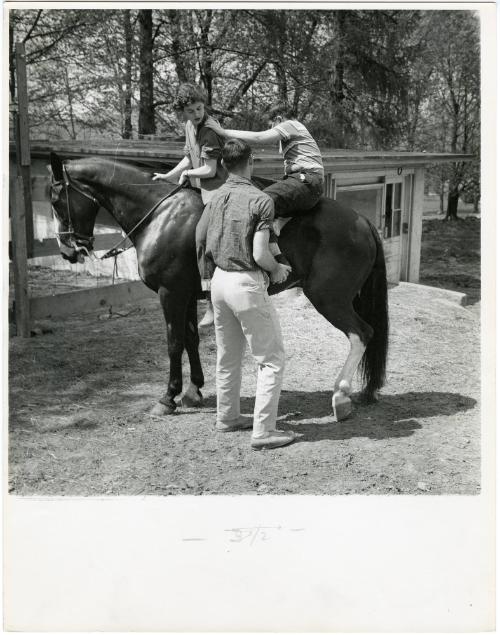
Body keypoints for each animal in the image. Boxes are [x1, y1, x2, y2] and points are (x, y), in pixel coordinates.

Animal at [48, 152, 388, 422]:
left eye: (55, 199)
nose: (67, 250)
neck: (160, 215)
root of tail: (362, 221)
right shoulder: (186, 295)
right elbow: (191, 339)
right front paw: (193, 390)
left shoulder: (170, 294)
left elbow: (174, 343)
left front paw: (167, 398)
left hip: (329, 299)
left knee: (362, 333)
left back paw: (341, 394)